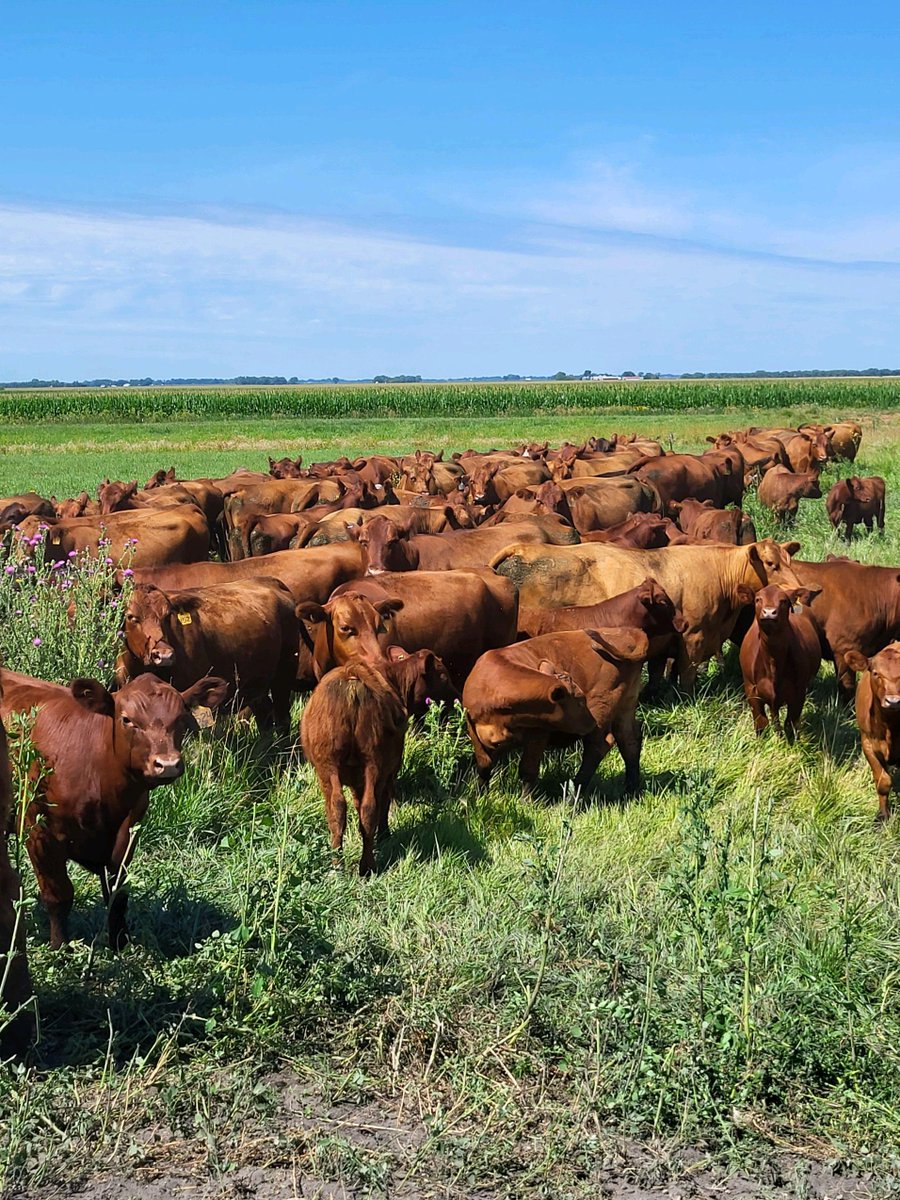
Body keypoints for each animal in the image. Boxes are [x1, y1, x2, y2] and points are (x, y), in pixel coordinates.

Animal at [1, 671, 229, 949]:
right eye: (127, 719)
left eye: (182, 718)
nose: (167, 764)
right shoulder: (39, 832)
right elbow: (59, 896)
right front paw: (60, 947)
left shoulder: (127, 833)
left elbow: (118, 894)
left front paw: (121, 944)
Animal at [118, 579, 300, 731]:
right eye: (131, 616)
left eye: (168, 615)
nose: (164, 655)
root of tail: (271, 581)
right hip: (255, 684)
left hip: (284, 674)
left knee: (283, 718)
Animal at [462, 628, 648, 794]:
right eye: (580, 701)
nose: (591, 722)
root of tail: (625, 631)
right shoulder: (474, 731)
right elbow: (484, 766)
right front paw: (480, 796)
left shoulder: (539, 733)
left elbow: (528, 769)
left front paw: (526, 802)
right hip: (625, 707)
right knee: (630, 741)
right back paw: (630, 789)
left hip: (602, 706)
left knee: (599, 745)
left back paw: (572, 797)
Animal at [491, 539, 801, 692]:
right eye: (770, 563)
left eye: (789, 560)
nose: (798, 589)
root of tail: (525, 548)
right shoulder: (693, 637)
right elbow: (686, 676)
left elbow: (659, 672)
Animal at [737, 583, 822, 741]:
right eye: (758, 599)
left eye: (783, 601)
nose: (769, 612)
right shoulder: (751, 690)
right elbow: (761, 724)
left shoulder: (798, 692)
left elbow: (790, 723)